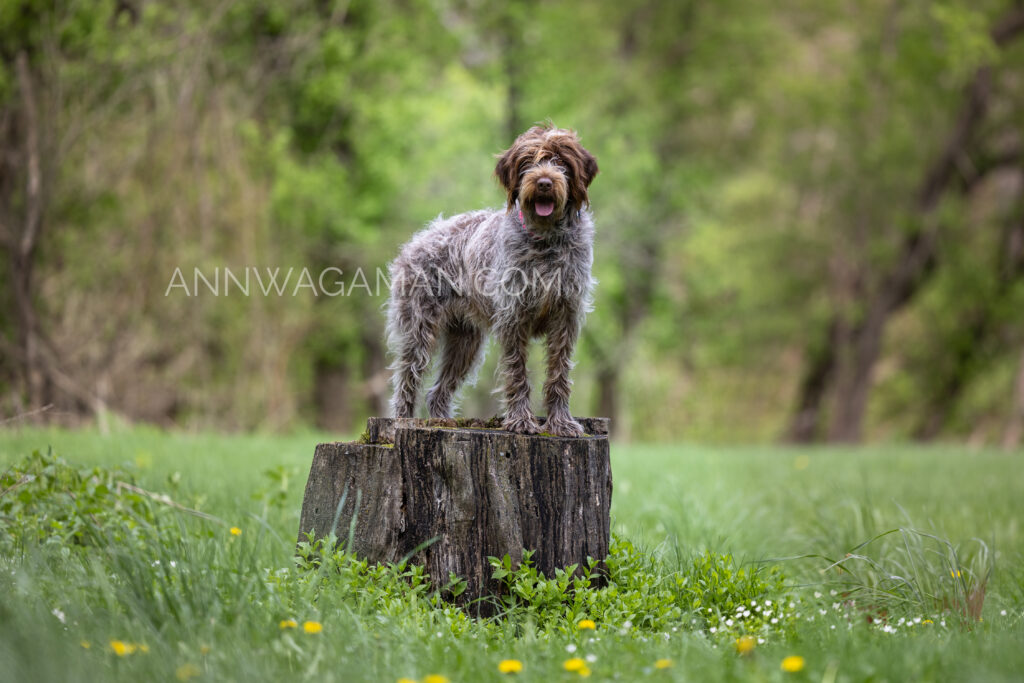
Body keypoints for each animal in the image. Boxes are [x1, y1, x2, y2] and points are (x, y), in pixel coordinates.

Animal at [385, 124, 598, 436]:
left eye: (561, 160)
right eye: (528, 162)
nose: (544, 182)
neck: (546, 240)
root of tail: (420, 238)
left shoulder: (566, 316)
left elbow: (559, 372)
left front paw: (560, 422)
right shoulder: (513, 317)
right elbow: (517, 371)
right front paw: (521, 420)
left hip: (466, 343)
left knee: (436, 391)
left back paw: (440, 420)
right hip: (418, 332)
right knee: (406, 382)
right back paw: (401, 422)